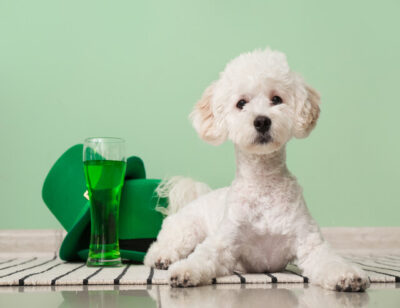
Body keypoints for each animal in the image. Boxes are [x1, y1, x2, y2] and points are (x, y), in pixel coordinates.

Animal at [144, 47, 368, 292]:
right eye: (241, 103)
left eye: (276, 99)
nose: (261, 121)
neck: (263, 185)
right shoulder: (225, 242)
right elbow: (203, 255)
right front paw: (184, 271)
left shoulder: (309, 242)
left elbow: (329, 259)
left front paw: (347, 276)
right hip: (186, 230)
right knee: (160, 247)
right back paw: (162, 258)